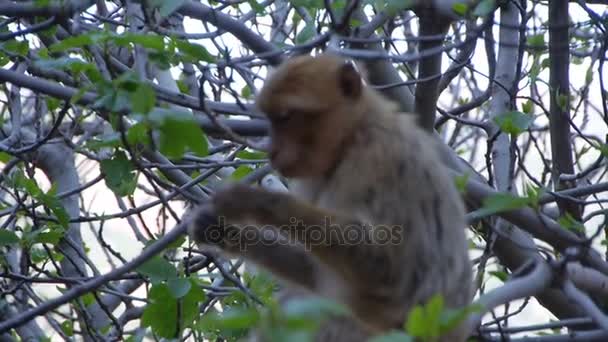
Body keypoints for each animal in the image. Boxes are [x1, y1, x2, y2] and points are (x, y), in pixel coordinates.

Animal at [188, 52, 472, 340]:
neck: (352, 136)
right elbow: (312, 269)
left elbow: (390, 270)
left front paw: (254, 202)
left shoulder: (375, 158)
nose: (272, 152)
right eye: (271, 119)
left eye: (286, 117)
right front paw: (223, 233)